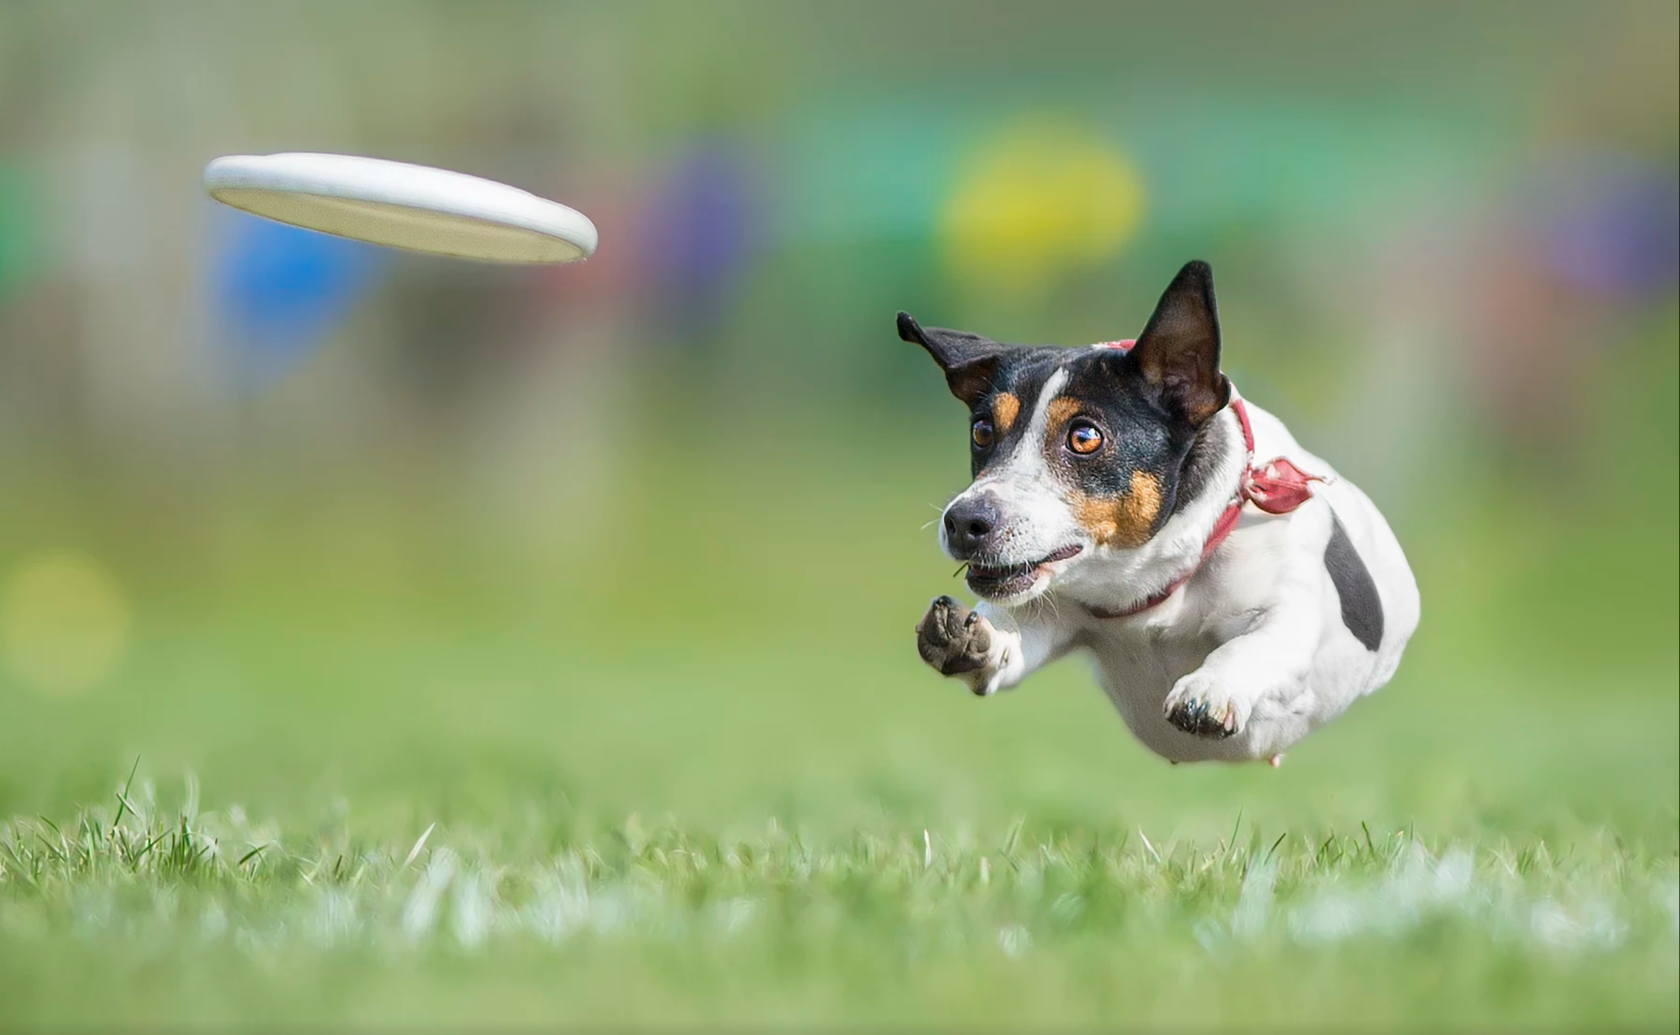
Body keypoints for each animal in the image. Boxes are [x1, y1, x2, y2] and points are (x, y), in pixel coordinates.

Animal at [907, 260, 1417, 759]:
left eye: (1084, 436)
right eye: (982, 431)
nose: (962, 522)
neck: (1150, 584)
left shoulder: (1290, 611)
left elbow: (1257, 643)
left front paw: (1211, 688)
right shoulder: (1050, 612)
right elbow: (1010, 639)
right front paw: (978, 638)